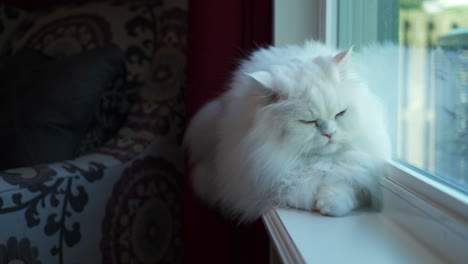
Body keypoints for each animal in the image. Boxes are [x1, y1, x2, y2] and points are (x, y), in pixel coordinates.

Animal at [185, 40, 390, 222]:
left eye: (340, 114)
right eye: (308, 122)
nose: (329, 133)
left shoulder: (362, 173)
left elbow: (345, 184)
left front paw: (330, 205)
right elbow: (296, 190)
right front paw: (313, 201)